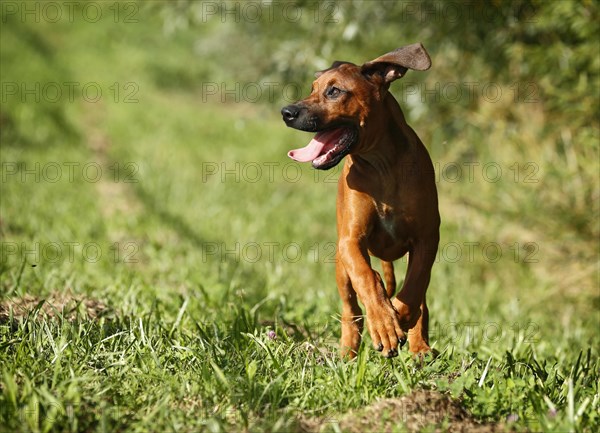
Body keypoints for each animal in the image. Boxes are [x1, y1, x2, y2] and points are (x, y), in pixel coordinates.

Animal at [282, 43, 440, 358]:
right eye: (313, 88)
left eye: (334, 91)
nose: (286, 112)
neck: (381, 166)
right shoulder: (350, 240)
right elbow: (366, 277)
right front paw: (384, 324)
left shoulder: (428, 237)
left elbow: (415, 286)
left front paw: (401, 315)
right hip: (339, 265)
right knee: (351, 307)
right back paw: (348, 351)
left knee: (421, 297)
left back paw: (420, 347)